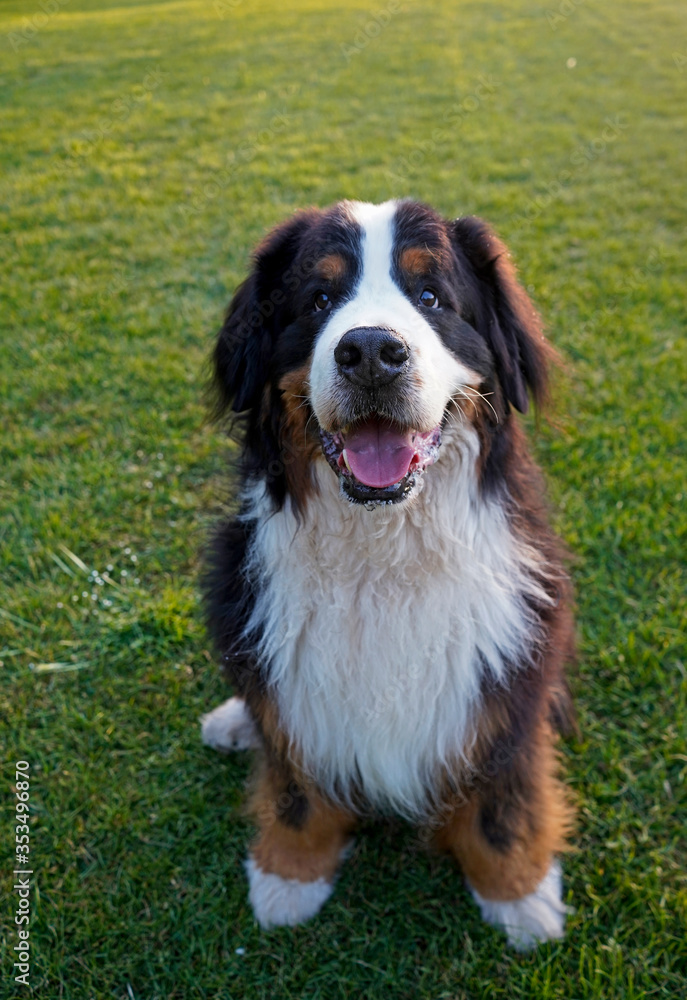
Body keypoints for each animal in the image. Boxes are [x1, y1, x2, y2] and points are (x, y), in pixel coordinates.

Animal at [202, 199, 576, 948]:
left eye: (430, 297)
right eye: (318, 300)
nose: (371, 351)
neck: (382, 556)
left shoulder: (509, 675)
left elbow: (503, 799)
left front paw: (520, 897)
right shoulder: (285, 668)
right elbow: (293, 782)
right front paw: (289, 877)